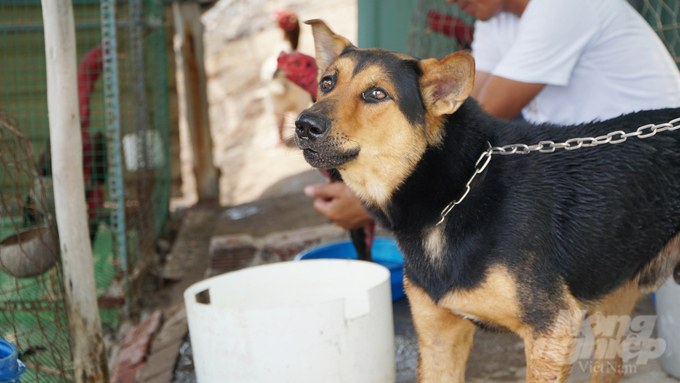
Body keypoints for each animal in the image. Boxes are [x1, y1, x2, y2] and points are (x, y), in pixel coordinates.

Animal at [294, 20, 680, 383]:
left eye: (376, 94)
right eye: (327, 83)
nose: (304, 125)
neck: (455, 193)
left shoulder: (550, 329)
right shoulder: (438, 339)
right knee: (610, 366)